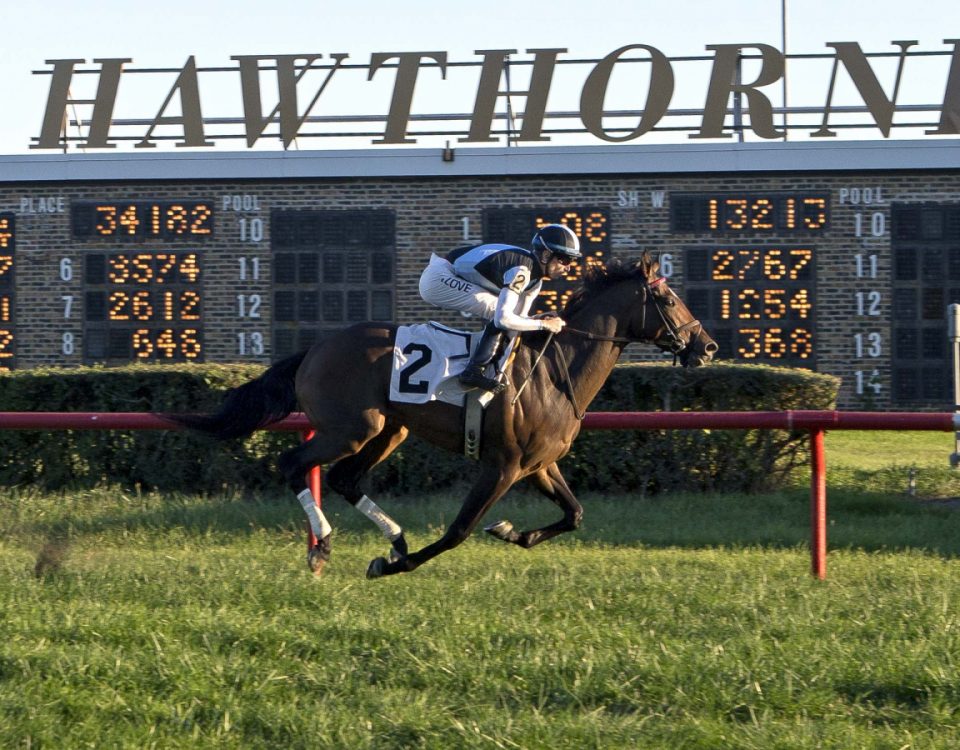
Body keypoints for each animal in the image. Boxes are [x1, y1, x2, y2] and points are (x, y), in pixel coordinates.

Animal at [171, 256, 712, 580]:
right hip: (351, 429)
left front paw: (513, 532)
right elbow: (458, 531)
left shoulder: (539, 464)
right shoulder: (503, 466)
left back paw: (395, 538)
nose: (705, 347)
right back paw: (323, 545)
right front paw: (396, 566)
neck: (554, 373)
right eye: (667, 299)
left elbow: (574, 514)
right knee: (294, 465)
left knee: (345, 479)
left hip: (390, 429)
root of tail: (315, 348)